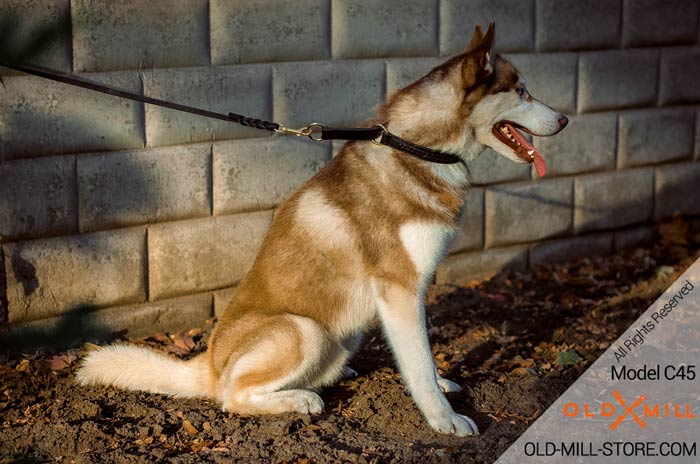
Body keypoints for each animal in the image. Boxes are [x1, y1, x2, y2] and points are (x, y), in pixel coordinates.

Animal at [76, 23, 568, 436]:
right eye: (522, 91)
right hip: (303, 330)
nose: (565, 120)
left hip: (342, 333)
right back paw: (299, 399)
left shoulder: (414, 289)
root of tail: (208, 363)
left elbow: (424, 359)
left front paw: (443, 386)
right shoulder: (399, 288)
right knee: (231, 398)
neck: (419, 149)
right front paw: (443, 420)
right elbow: (419, 364)